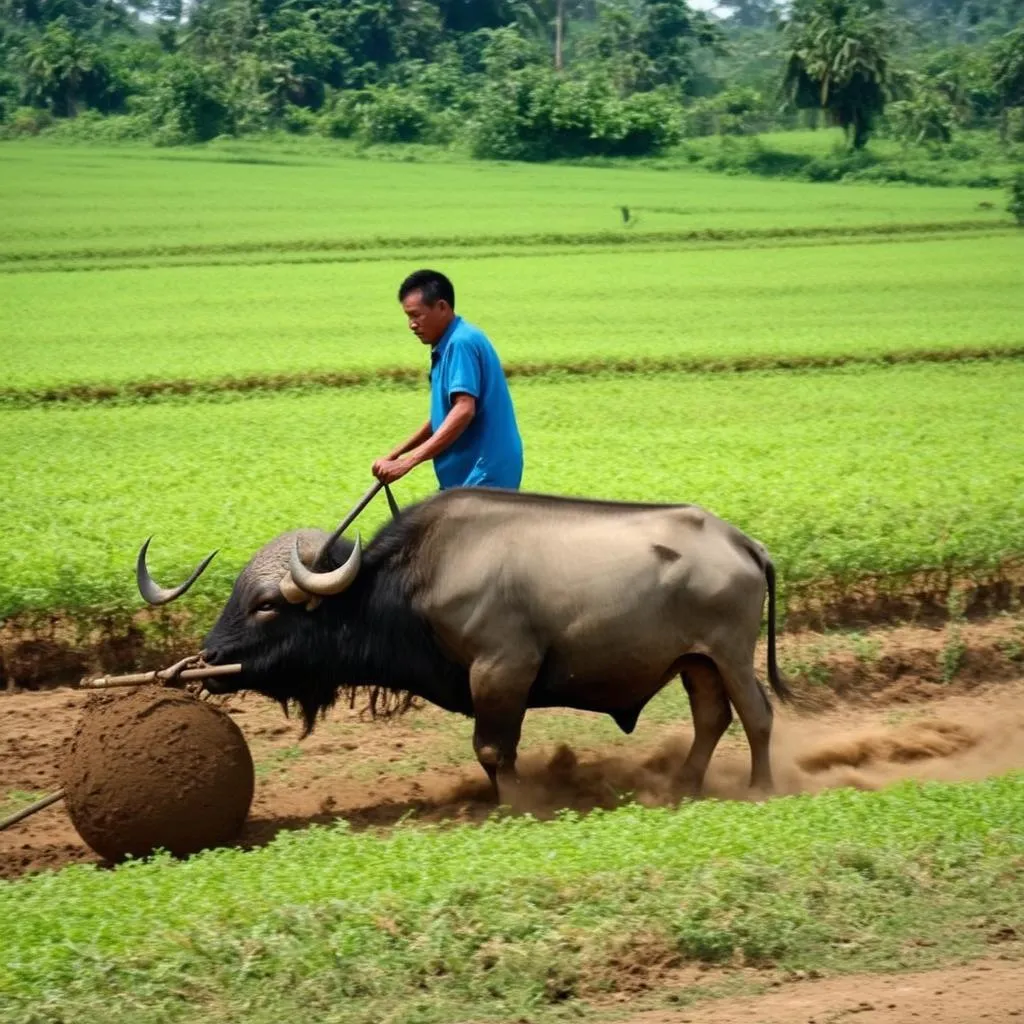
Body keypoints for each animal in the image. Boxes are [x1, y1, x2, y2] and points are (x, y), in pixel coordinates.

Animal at [138, 489, 790, 798]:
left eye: (266, 605)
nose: (210, 656)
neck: (414, 583)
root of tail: (742, 542)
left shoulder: (502, 672)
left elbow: (493, 751)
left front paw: (516, 805)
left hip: (730, 655)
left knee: (757, 716)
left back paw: (761, 787)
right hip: (695, 663)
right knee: (711, 719)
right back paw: (685, 784)